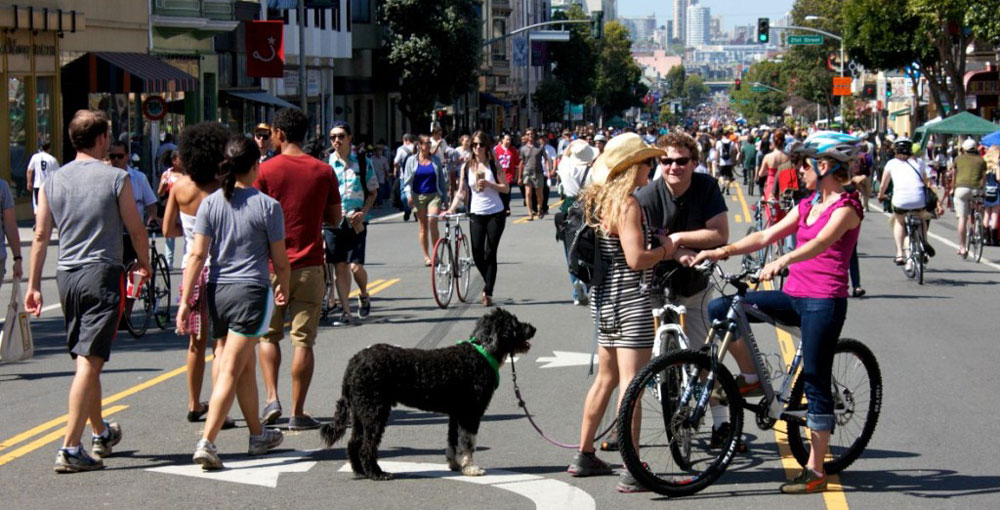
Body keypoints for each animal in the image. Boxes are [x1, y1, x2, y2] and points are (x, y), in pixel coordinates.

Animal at [324, 308, 536, 480]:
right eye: (515, 324)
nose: (533, 328)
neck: (480, 353)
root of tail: (354, 362)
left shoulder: (456, 414)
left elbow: (453, 441)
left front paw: (454, 464)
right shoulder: (470, 414)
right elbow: (468, 443)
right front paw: (470, 468)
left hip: (361, 411)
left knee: (353, 443)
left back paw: (359, 471)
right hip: (375, 411)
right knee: (367, 446)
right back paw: (377, 473)